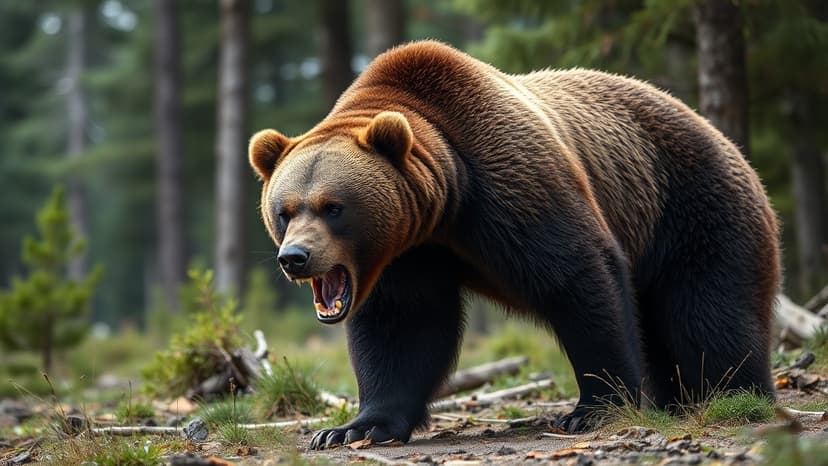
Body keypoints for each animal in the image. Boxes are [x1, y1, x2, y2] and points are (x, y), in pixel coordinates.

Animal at [248, 41, 780, 449]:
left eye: (333, 207)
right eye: (284, 210)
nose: (295, 258)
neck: (445, 205)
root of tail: (726, 140)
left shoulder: (512, 184)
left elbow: (578, 277)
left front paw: (593, 408)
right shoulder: (410, 251)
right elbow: (401, 324)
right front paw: (352, 428)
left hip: (689, 205)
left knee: (709, 311)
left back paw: (733, 395)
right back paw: (678, 400)